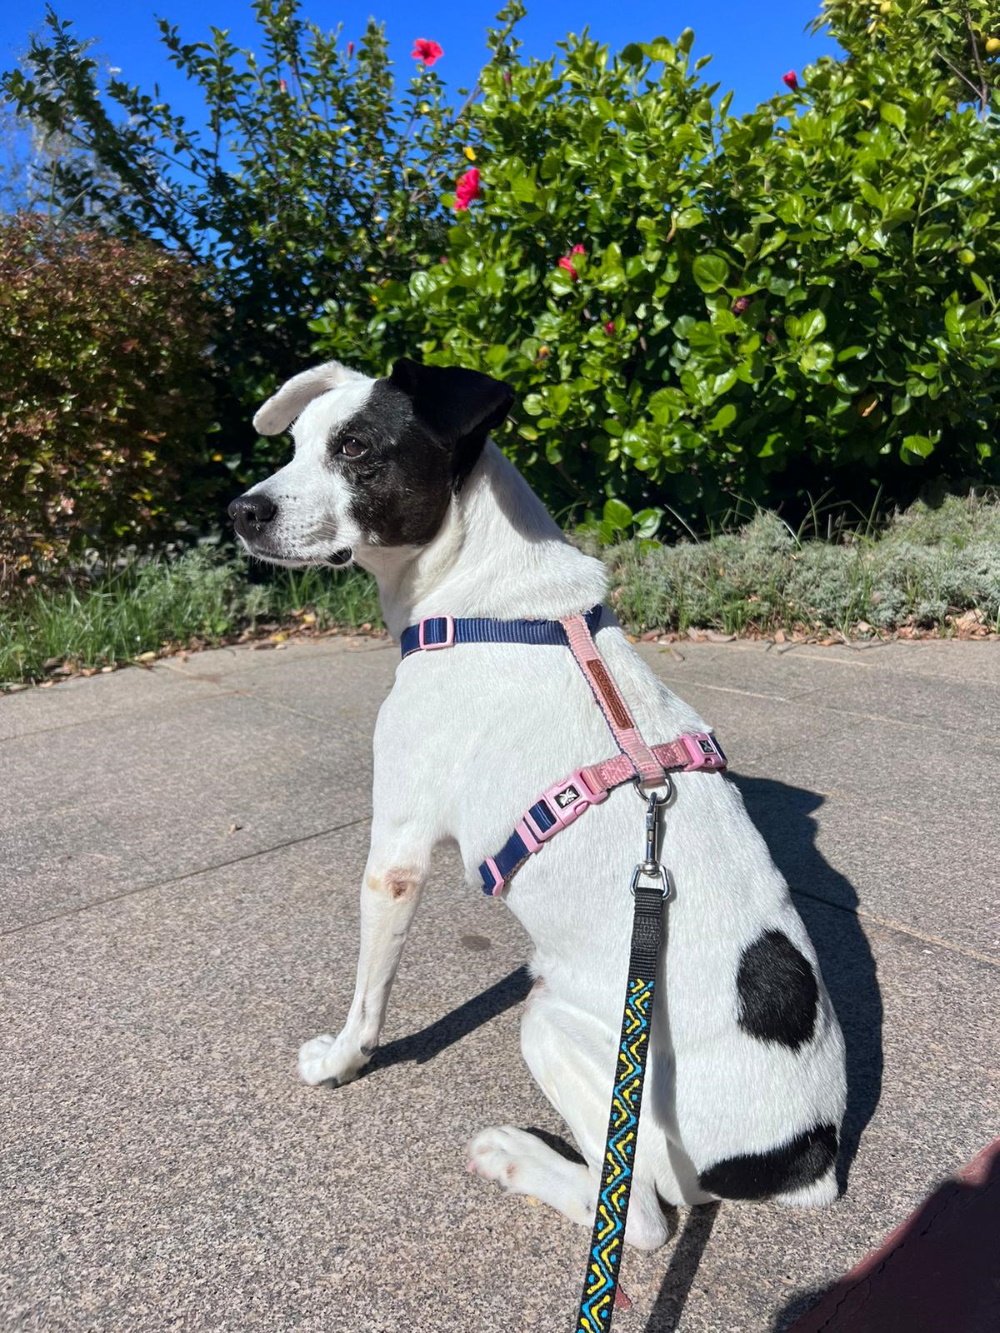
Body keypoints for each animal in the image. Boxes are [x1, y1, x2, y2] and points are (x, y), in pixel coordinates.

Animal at [229, 357, 847, 1250]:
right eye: (299, 442)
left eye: (357, 449)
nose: (241, 511)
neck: (490, 598)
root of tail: (807, 1155)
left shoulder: (395, 857)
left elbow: (367, 1000)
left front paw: (341, 1063)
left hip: (556, 1027)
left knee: (641, 1218)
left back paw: (517, 1157)